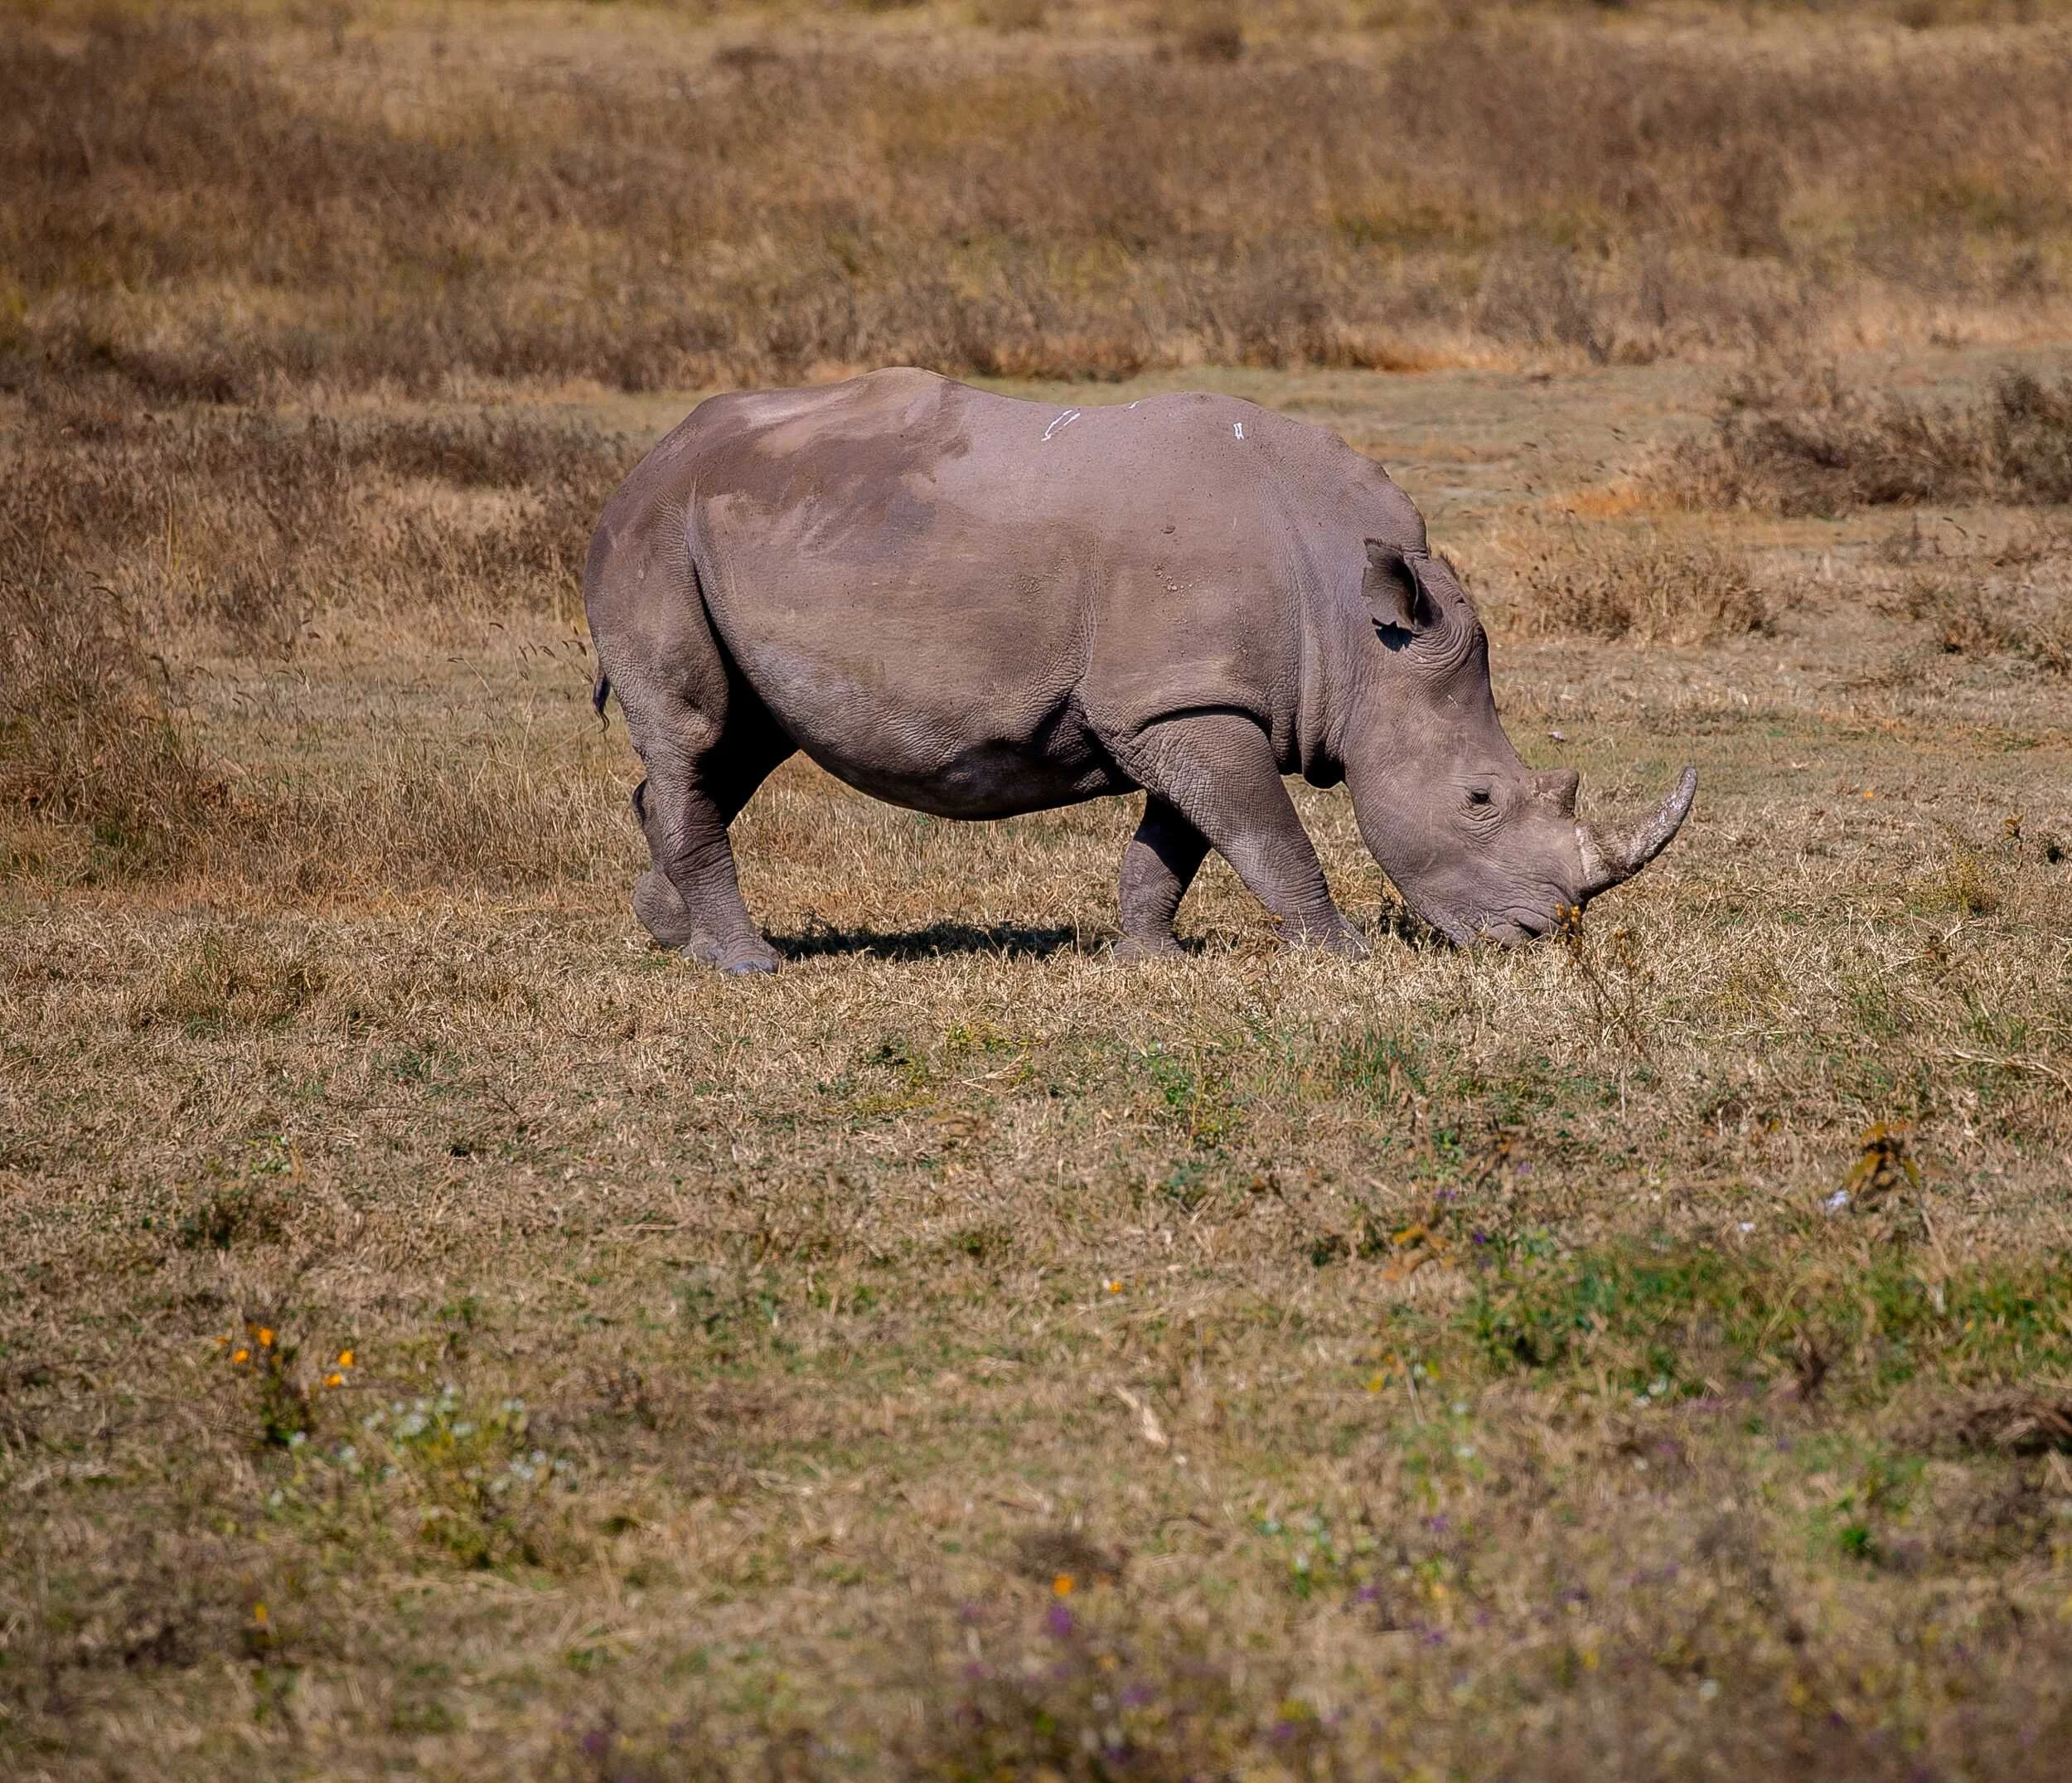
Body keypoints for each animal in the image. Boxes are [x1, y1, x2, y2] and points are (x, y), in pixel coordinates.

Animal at [584, 368, 1695, 972]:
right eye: (1478, 799)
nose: (1541, 935)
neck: (1359, 636)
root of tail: (645, 461)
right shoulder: (1183, 700)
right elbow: (1266, 833)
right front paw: (1339, 954)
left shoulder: (1185, 699)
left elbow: (1181, 841)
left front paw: (1149, 958)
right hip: (653, 533)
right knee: (694, 732)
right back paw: (747, 965)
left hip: (718, 529)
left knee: (738, 742)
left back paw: (673, 936)